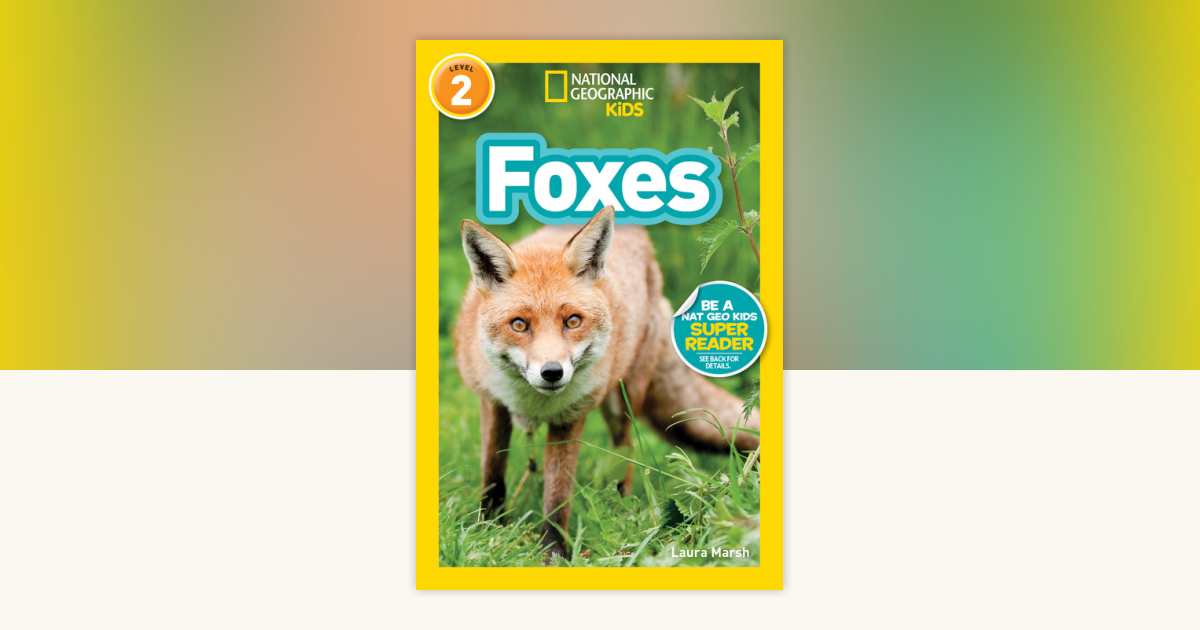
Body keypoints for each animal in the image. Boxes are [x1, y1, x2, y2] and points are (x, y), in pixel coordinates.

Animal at [454, 206, 759, 558]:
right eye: (519, 325)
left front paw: (554, 555)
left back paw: (623, 513)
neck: (532, 401)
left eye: (573, 321)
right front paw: (487, 528)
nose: (552, 372)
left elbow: (557, 497)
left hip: (622, 402)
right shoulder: (493, 402)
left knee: (625, 455)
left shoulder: (569, 418)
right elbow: (492, 474)